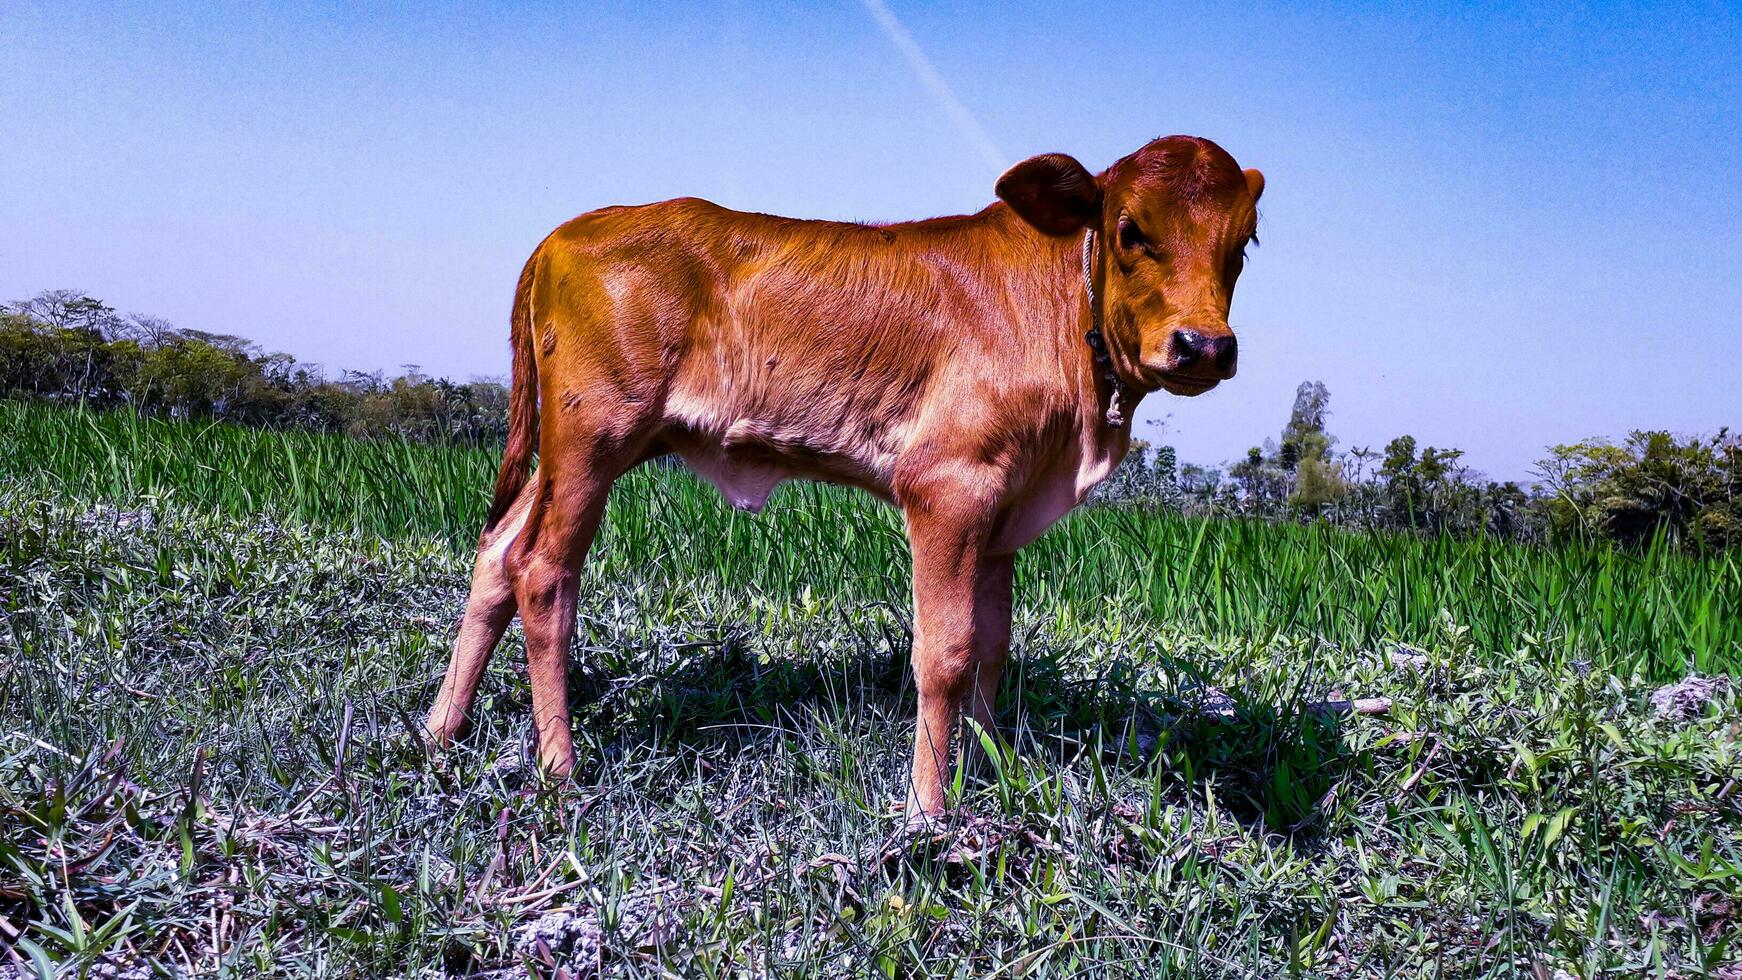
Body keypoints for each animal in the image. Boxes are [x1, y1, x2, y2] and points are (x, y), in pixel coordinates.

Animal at [425, 134, 1268, 818]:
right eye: (1130, 230)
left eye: (1245, 241)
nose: (1204, 345)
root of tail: (564, 233)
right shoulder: (947, 489)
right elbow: (946, 654)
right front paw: (927, 811)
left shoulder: (1005, 512)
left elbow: (994, 650)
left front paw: (989, 777)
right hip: (592, 440)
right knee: (543, 573)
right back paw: (559, 768)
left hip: (581, 447)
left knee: (498, 553)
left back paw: (442, 729)